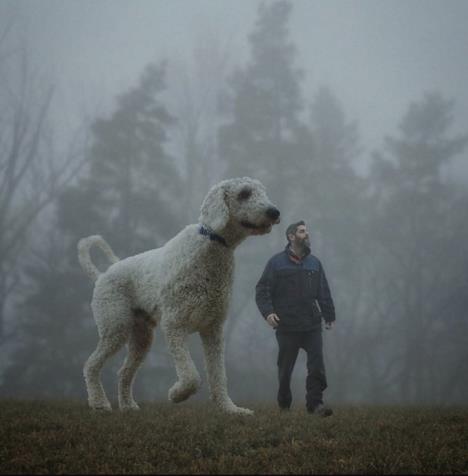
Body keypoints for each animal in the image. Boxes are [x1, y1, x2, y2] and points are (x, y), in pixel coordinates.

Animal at [78, 177, 280, 414]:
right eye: (244, 193)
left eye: (262, 191)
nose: (274, 212)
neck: (211, 246)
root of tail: (101, 275)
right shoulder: (175, 325)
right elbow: (192, 376)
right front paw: (177, 394)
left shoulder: (213, 330)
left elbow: (218, 375)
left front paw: (230, 409)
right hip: (115, 326)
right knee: (91, 365)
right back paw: (99, 403)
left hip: (141, 336)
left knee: (123, 373)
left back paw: (128, 406)